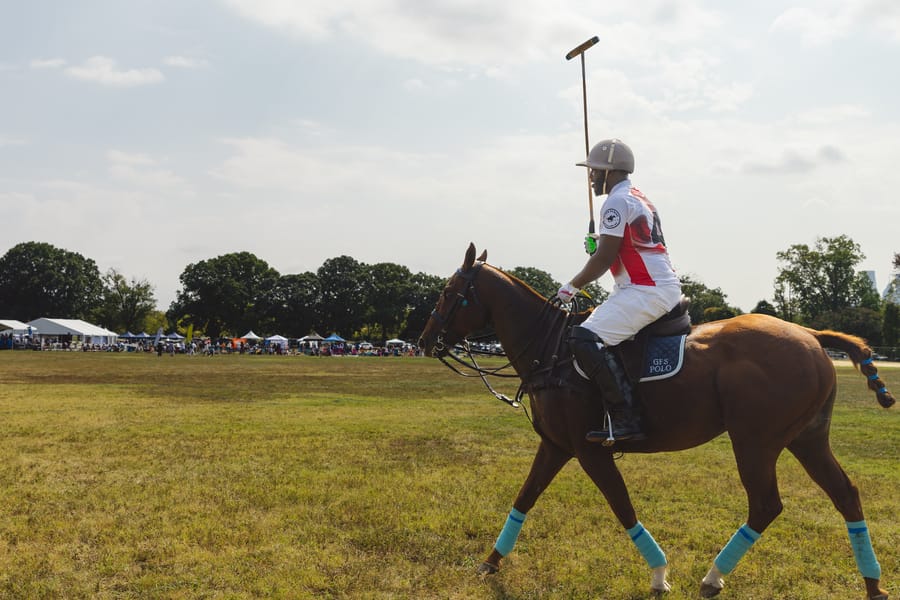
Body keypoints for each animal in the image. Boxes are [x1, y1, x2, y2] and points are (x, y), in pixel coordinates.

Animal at [420, 245, 892, 600]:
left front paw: (661, 576)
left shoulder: (589, 450)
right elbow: (524, 497)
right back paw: (872, 585)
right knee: (845, 494)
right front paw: (489, 563)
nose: (425, 341)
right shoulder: (555, 445)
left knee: (766, 504)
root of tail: (812, 336)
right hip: (807, 437)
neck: (550, 350)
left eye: (448, 291)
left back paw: (712, 577)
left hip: (755, 440)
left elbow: (621, 505)